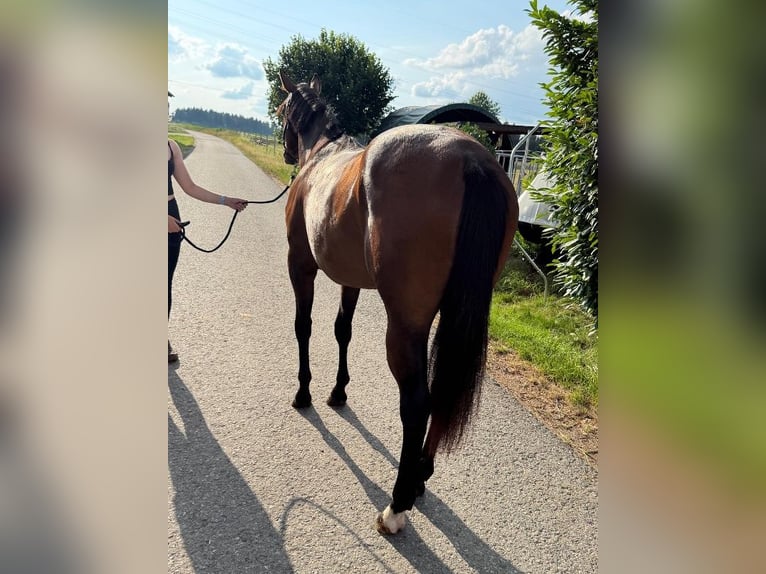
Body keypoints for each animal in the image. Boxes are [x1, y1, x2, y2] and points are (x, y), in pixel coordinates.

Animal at [276, 71, 518, 534]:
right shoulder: (350, 280)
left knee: (417, 402)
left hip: (405, 324)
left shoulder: (301, 265)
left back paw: (397, 505)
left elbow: (304, 326)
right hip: (454, 315)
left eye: (281, 110)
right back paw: (419, 478)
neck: (323, 155)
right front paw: (338, 392)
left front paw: (304, 392)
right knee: (440, 392)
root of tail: (471, 159)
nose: (284, 151)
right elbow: (343, 330)